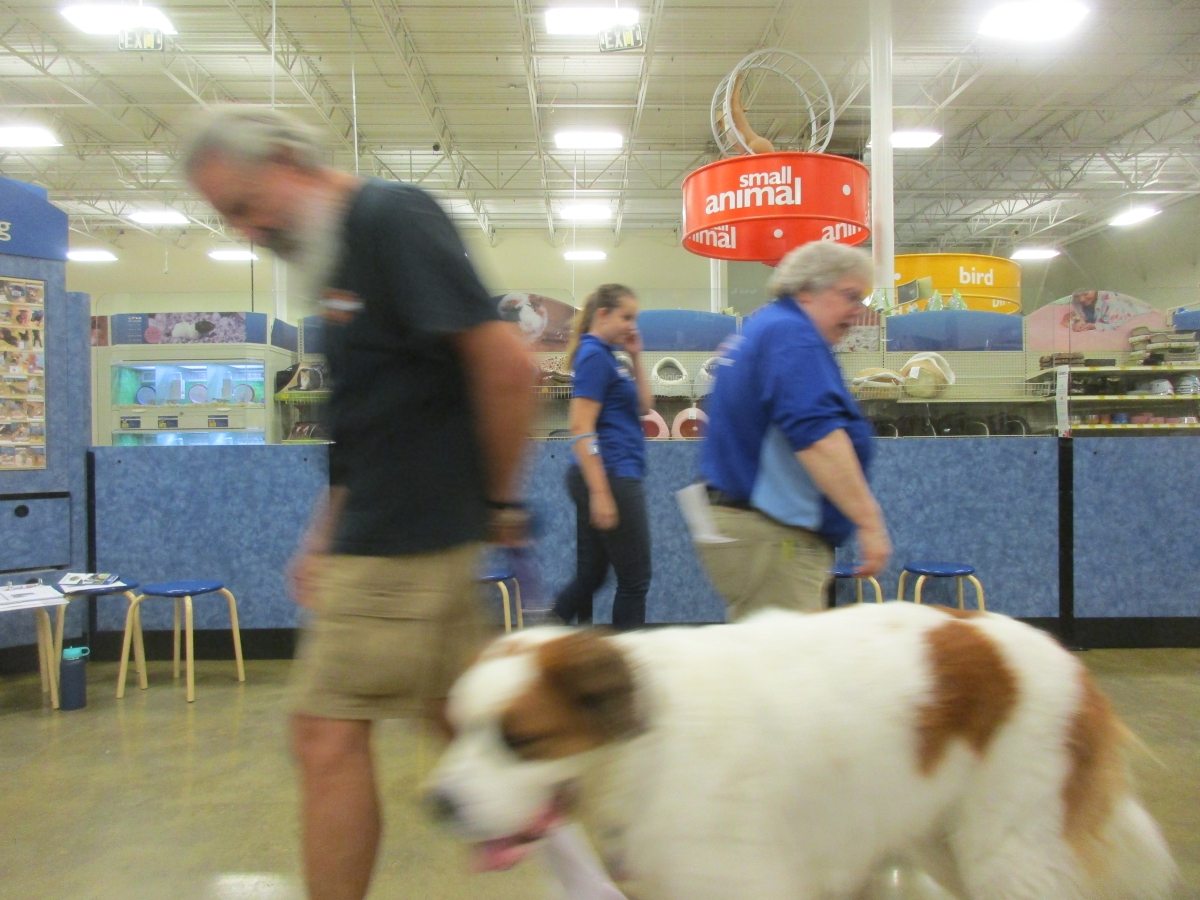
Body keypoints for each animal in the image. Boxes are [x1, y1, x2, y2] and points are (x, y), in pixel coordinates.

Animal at [429, 602, 1176, 900]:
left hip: (1011, 856)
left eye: (521, 741)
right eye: (457, 728)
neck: (645, 744)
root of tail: (1068, 660)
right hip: (945, 839)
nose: (438, 803)